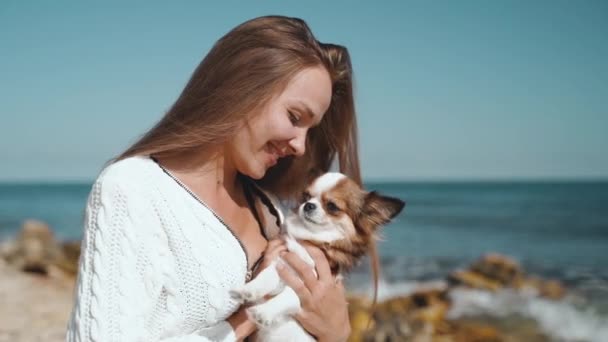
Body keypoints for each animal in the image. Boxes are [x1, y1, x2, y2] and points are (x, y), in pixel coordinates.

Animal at [232, 172, 404, 340]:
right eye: (306, 196)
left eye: (332, 206)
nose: (309, 205)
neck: (313, 239)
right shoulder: (284, 263)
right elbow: (267, 275)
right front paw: (248, 290)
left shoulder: (310, 288)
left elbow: (288, 295)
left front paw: (263, 312)